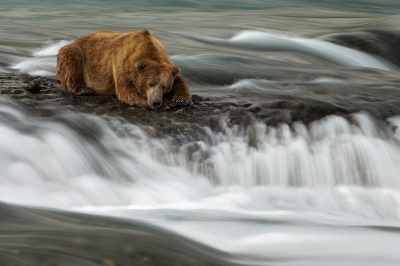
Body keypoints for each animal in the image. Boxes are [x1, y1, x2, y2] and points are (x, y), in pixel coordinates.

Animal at [55, 30, 192, 110]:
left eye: (164, 86)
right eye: (150, 83)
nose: (156, 102)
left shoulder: (168, 64)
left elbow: (180, 82)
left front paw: (181, 99)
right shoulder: (120, 63)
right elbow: (126, 90)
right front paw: (168, 103)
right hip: (76, 52)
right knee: (71, 61)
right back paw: (85, 89)